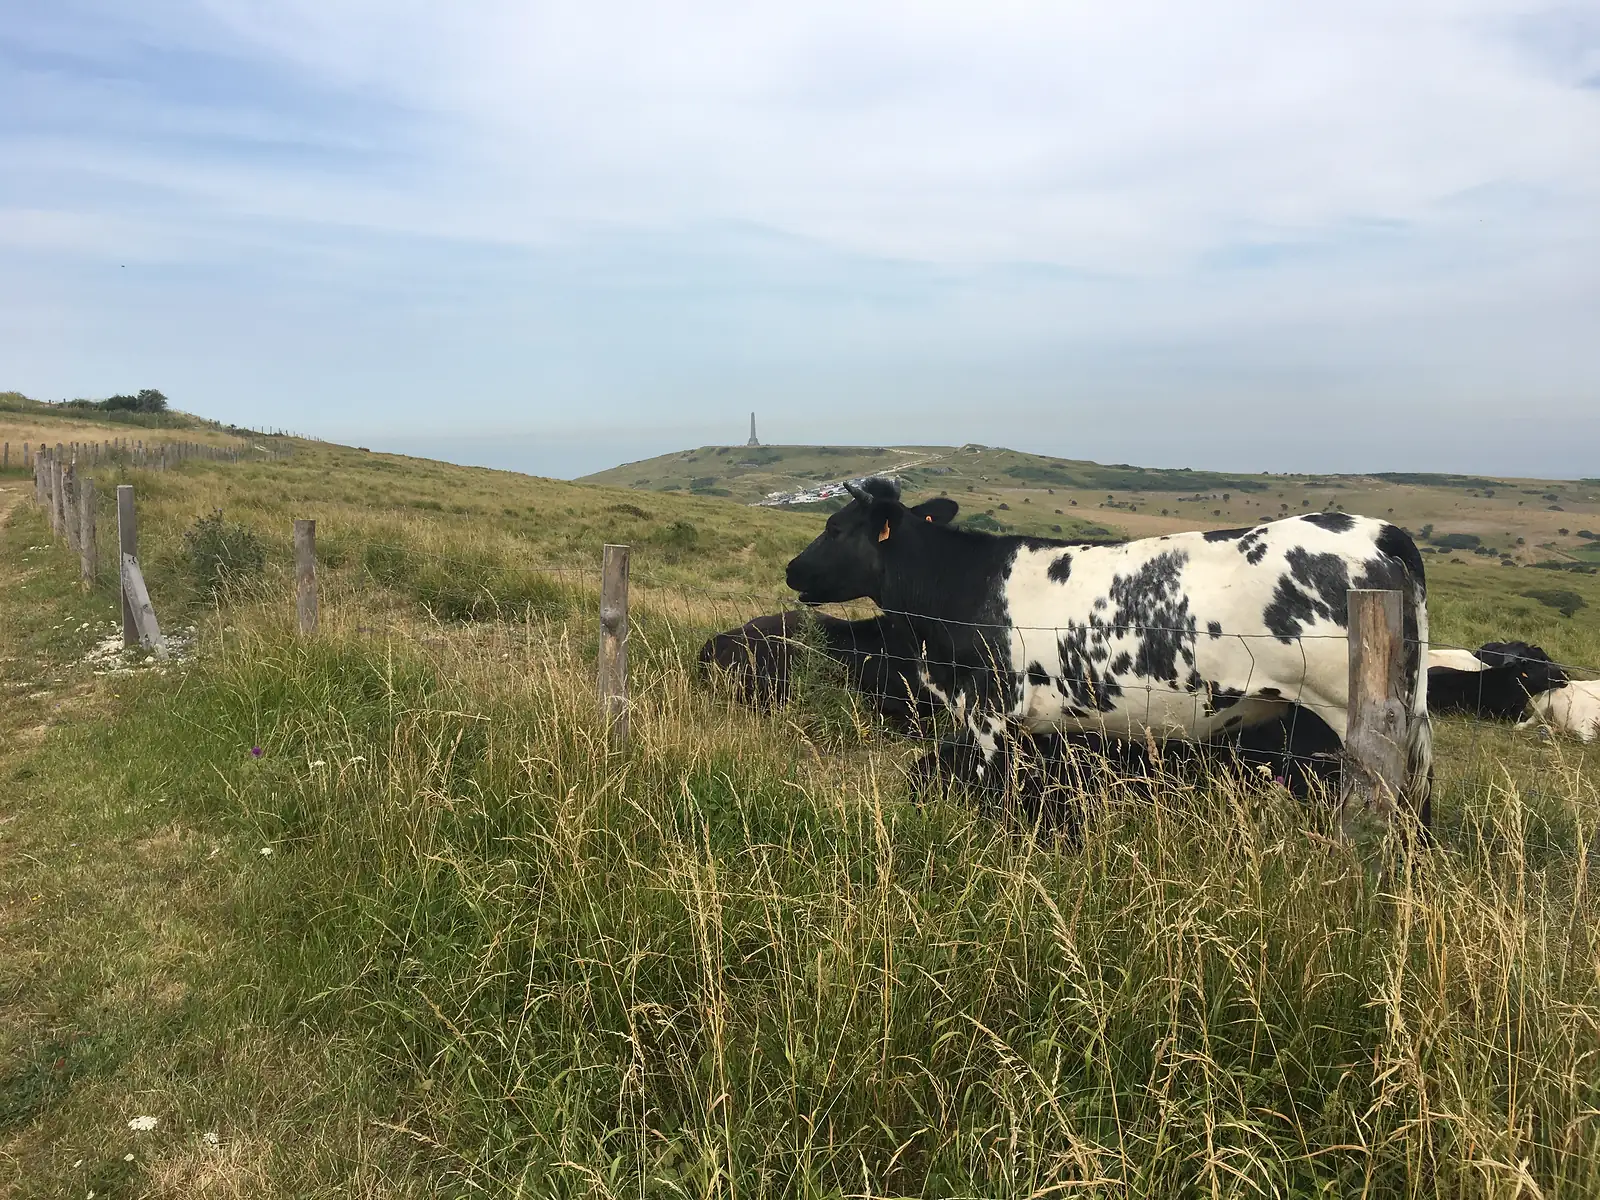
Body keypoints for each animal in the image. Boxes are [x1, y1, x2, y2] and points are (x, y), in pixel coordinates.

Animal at [785, 477, 1433, 824]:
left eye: (835, 528)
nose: (791, 569)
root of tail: (1375, 529)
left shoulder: (990, 712)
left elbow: (995, 800)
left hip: (1356, 713)